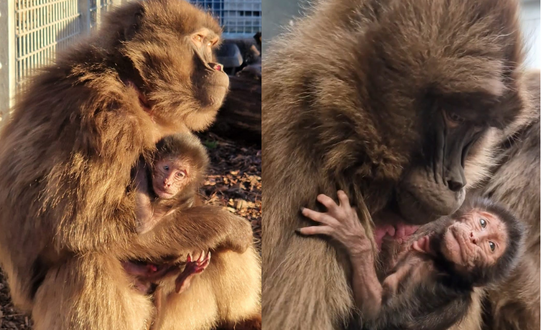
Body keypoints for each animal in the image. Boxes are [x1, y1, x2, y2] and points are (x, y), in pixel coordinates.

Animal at [0, 1, 262, 328]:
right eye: (199, 39)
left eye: (212, 44)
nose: (218, 67)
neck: (136, 88)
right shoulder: (101, 114)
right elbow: (85, 227)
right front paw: (229, 225)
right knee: (89, 262)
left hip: (177, 317)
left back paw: (244, 317)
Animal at [300, 192, 524, 330]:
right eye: (482, 222)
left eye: (491, 246)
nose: (473, 238)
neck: (436, 255)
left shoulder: (429, 276)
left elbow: (372, 315)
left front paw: (353, 236)